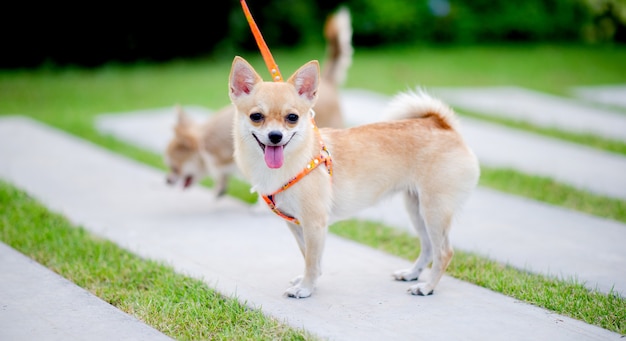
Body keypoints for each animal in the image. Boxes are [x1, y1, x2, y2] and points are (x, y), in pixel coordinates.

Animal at [229, 56, 478, 298]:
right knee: (428, 247)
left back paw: (427, 287)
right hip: (416, 208)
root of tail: (443, 125)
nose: (275, 136)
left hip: (434, 210)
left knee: (444, 252)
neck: (295, 158)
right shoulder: (298, 224)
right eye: (256, 116)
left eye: (292, 117)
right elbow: (309, 255)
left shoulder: (314, 223)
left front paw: (306, 288)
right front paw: (310, 281)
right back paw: (412, 274)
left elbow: (311, 259)